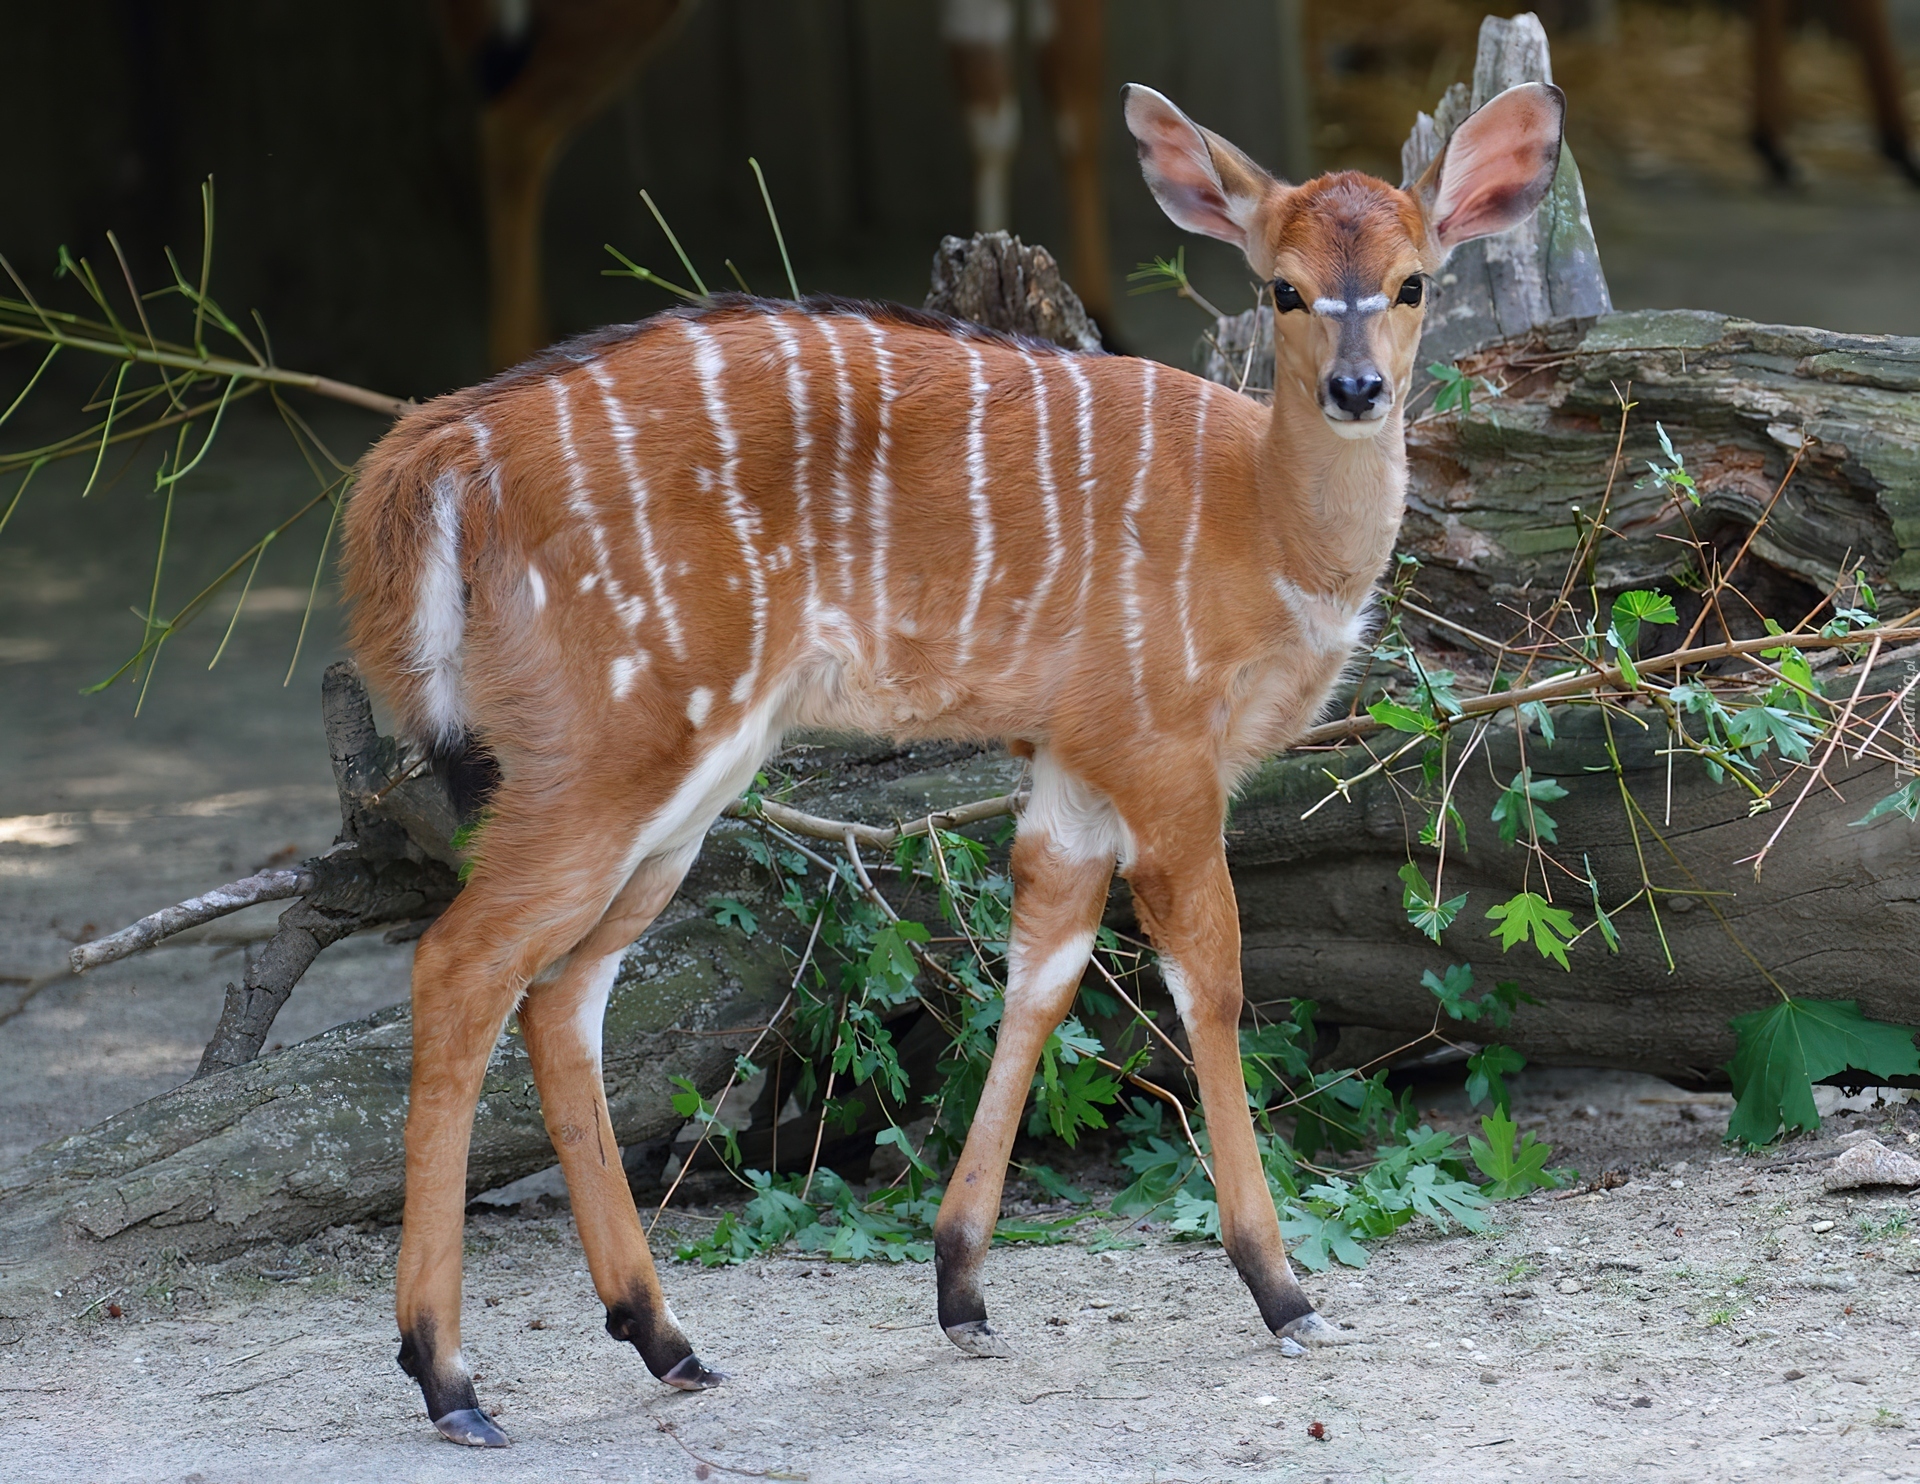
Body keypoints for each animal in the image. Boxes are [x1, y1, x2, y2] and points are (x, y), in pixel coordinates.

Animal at [349, 78, 1559, 1436]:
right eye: (1285, 288)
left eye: (1412, 281)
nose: (1357, 388)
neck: (1264, 521)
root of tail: (440, 454)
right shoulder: (1166, 754)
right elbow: (1210, 982)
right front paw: (1285, 1289)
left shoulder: (1077, 765)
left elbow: (1040, 971)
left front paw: (963, 1288)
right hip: (608, 747)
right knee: (463, 965)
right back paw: (449, 1374)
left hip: (681, 777)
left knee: (563, 994)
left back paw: (665, 1336)